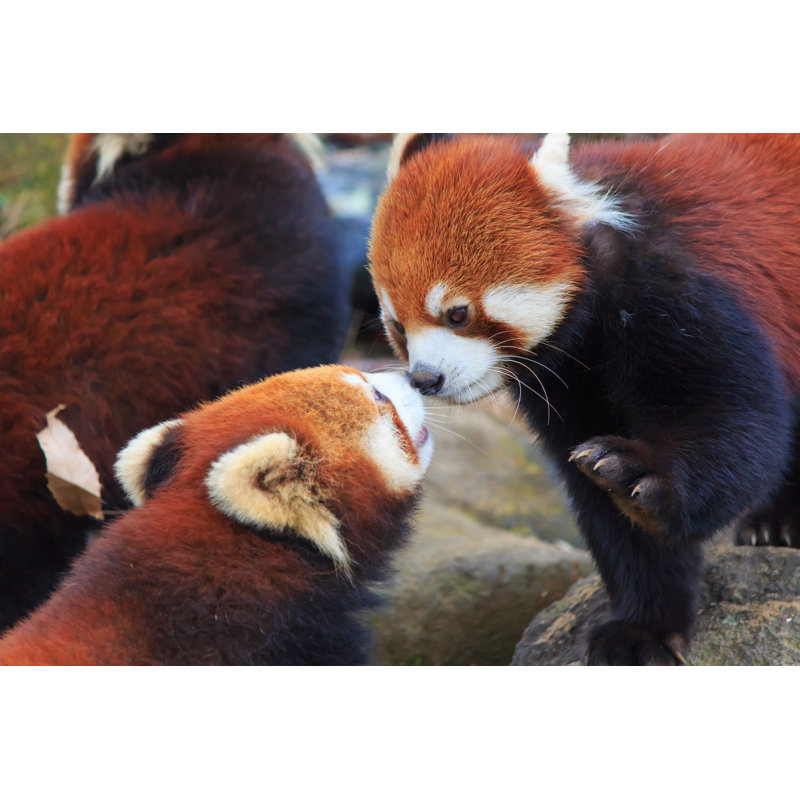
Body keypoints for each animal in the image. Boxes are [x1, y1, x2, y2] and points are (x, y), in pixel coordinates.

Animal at [368, 132, 800, 665]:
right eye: (397, 326)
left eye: (457, 314)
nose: (426, 379)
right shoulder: (568, 380)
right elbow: (608, 513)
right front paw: (644, 626)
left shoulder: (682, 293)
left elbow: (735, 426)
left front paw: (639, 473)